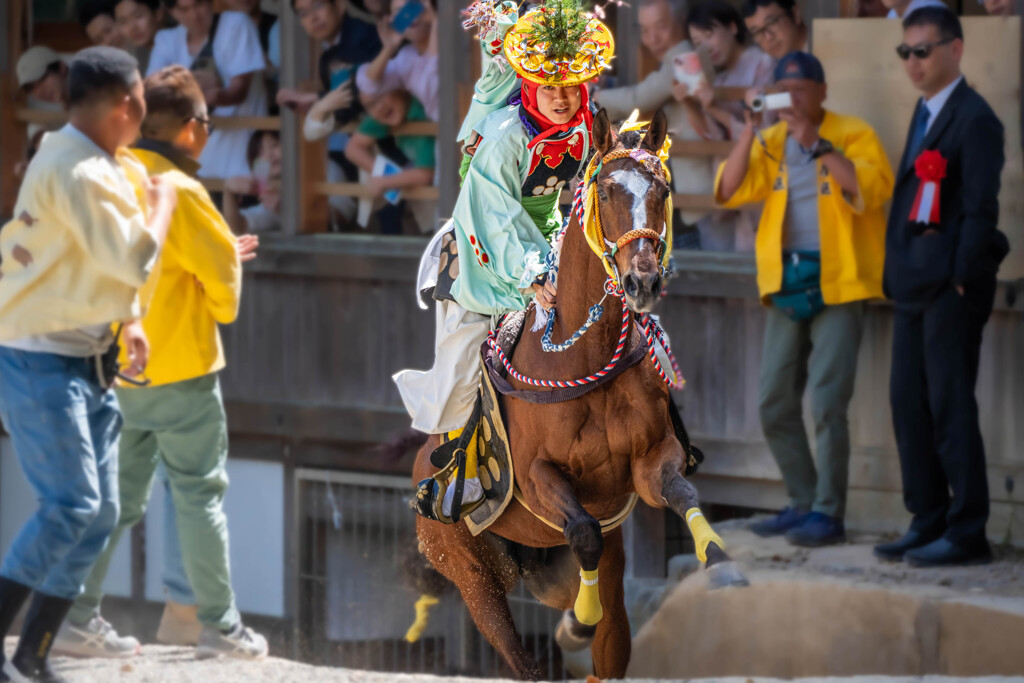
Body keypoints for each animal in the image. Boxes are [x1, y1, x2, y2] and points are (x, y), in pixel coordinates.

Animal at [411, 109, 749, 679]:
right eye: (608, 192)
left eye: (662, 189)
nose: (641, 281)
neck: (585, 358)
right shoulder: (536, 476)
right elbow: (585, 528)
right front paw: (584, 615)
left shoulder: (651, 458)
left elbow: (681, 492)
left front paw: (721, 559)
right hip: (468, 569)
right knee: (520, 654)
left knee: (608, 644)